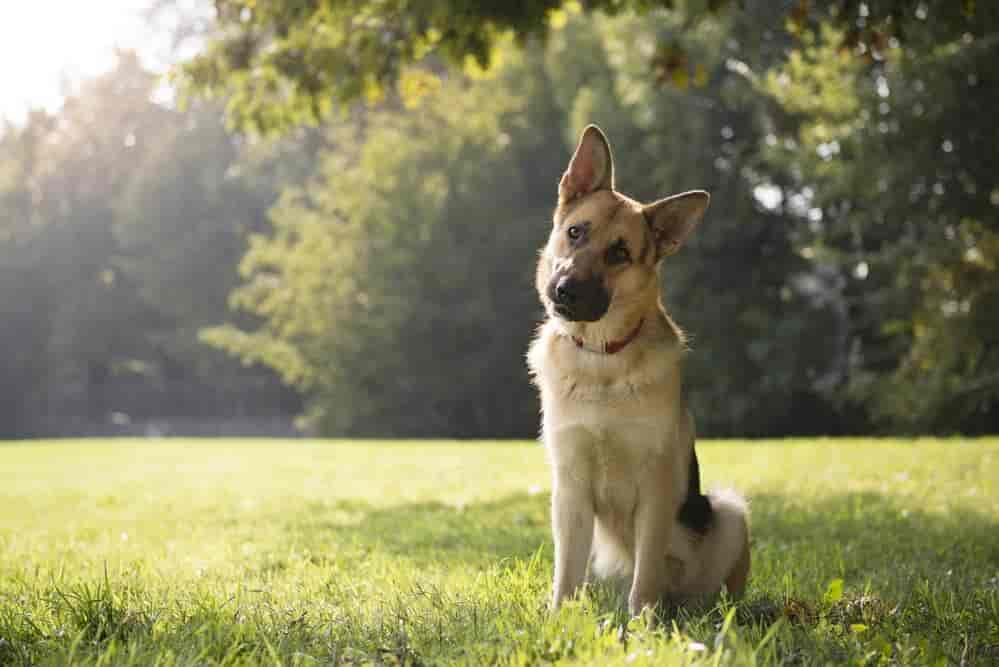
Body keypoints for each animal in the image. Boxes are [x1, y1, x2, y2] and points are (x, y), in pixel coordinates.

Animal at [532, 124, 752, 616]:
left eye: (619, 253)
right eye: (575, 232)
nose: (565, 290)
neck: (602, 359)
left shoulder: (656, 488)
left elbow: (646, 571)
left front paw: (643, 623)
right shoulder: (570, 488)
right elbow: (566, 572)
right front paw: (559, 619)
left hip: (729, 512)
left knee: (706, 589)